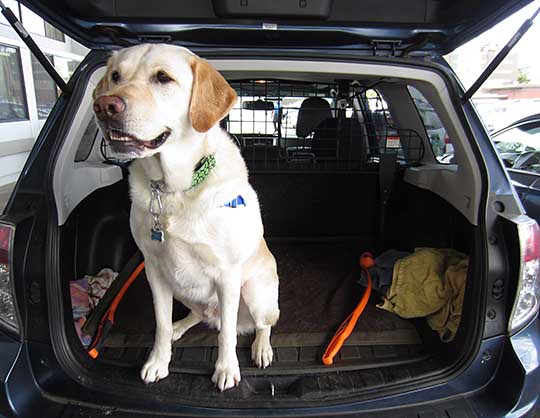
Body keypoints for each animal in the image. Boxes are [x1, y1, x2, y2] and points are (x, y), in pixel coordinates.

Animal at [92, 44, 280, 390]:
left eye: (163, 78)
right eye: (115, 76)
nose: (105, 106)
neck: (172, 190)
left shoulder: (228, 275)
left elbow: (227, 335)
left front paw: (226, 369)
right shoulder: (154, 269)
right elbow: (161, 324)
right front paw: (158, 361)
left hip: (255, 293)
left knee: (260, 324)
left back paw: (261, 347)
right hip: (182, 287)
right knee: (202, 316)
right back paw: (183, 325)